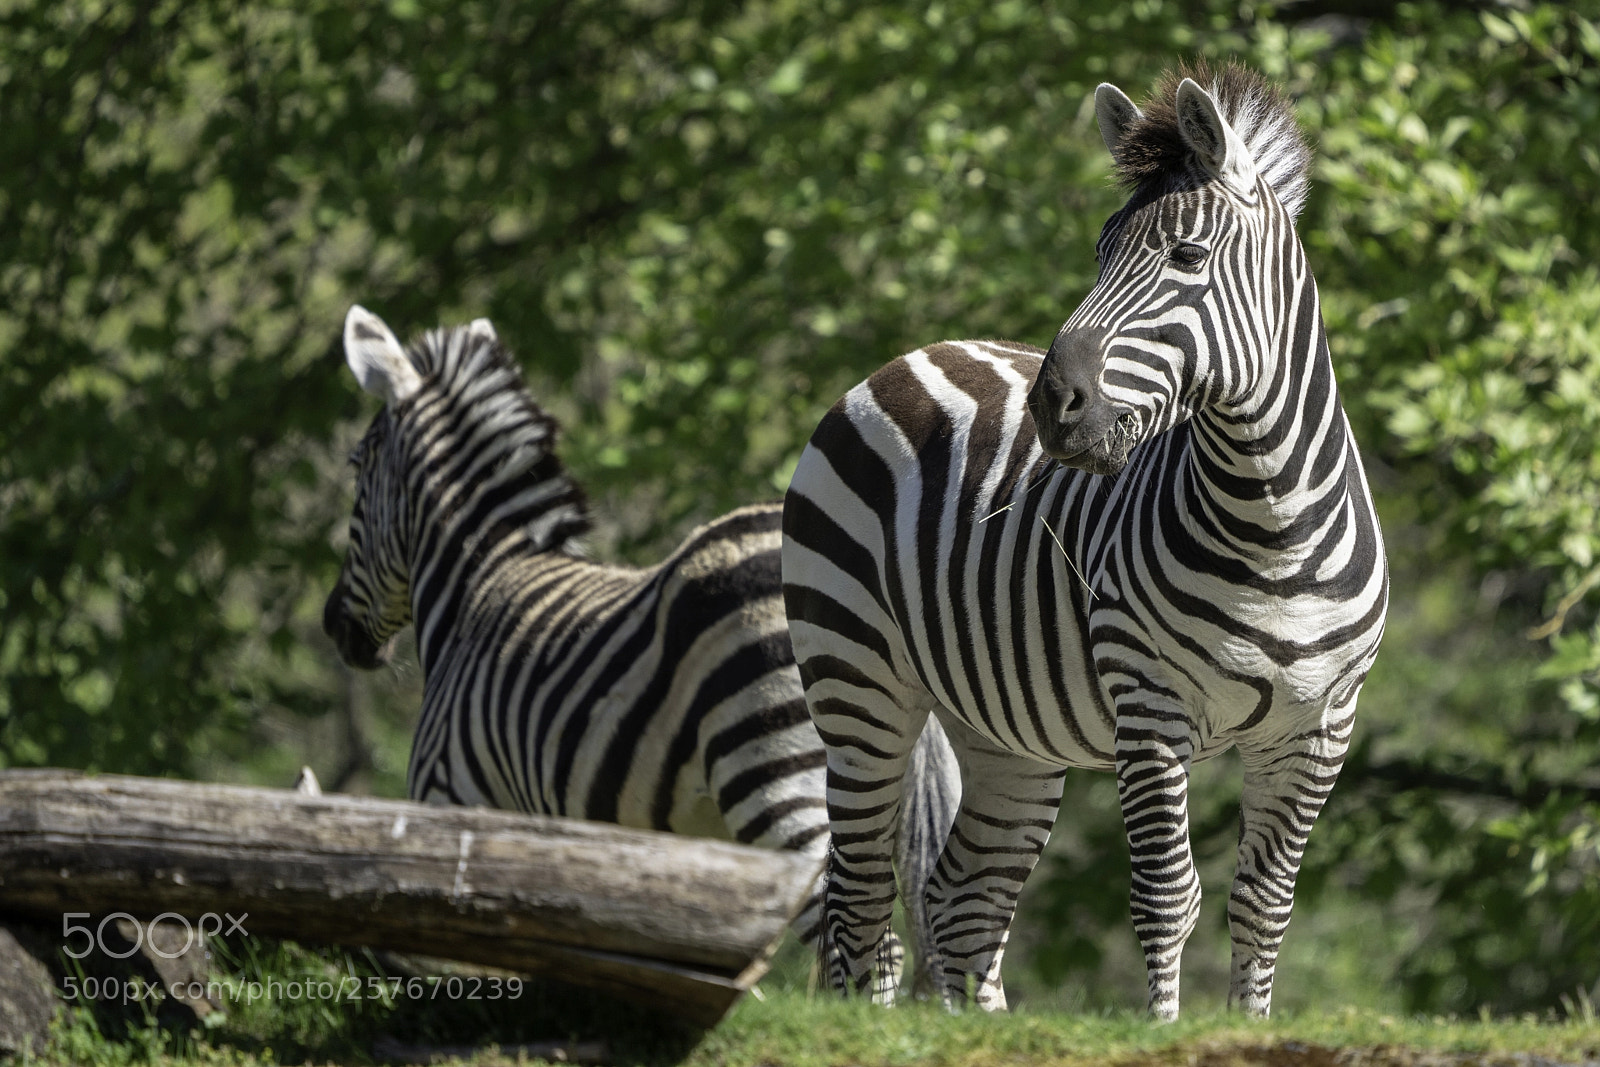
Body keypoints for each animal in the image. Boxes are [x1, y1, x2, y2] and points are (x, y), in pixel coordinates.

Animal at [321, 305, 960, 996]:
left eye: (356, 466)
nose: (332, 626)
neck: (480, 581)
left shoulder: (451, 795)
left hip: (777, 770)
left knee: (871, 940)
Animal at [781, 61, 1388, 1019]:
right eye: (1101, 253)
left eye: (1187, 258)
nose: (1051, 404)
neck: (1274, 528)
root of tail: (914, 355)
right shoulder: (1150, 703)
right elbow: (1169, 894)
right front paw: (1162, 1031)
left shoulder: (1319, 725)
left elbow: (1264, 905)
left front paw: (1242, 1021)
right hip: (855, 680)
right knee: (859, 890)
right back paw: (861, 1019)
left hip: (1001, 730)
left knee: (962, 900)